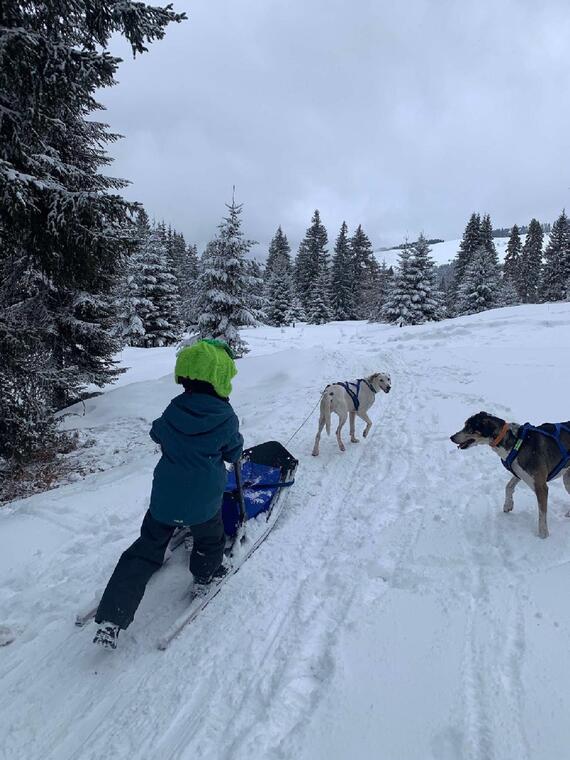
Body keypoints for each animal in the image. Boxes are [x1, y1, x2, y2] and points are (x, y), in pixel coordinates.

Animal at [448, 410, 568, 540]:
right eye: (465, 425)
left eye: (469, 428)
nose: (451, 437)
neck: (516, 442)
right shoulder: (518, 472)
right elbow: (508, 486)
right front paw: (508, 504)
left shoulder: (540, 486)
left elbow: (542, 513)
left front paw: (543, 534)